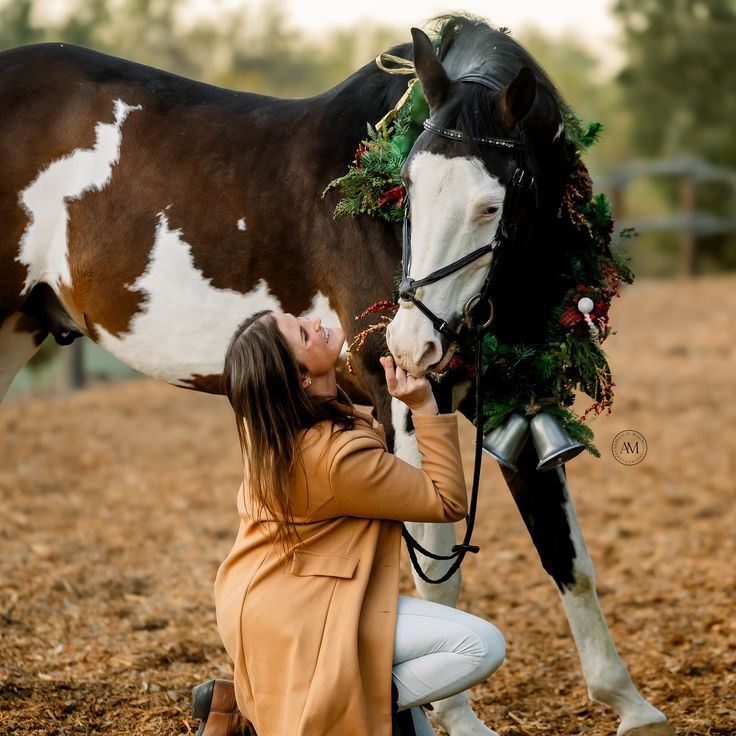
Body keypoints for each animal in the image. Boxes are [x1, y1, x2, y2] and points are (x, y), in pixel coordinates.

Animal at [0, 15, 673, 736]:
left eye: (492, 206)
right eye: (406, 190)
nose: (411, 344)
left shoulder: (517, 396)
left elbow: (567, 555)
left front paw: (630, 706)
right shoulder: (405, 407)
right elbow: (441, 574)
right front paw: (457, 720)